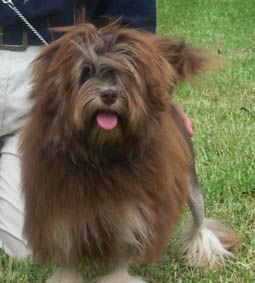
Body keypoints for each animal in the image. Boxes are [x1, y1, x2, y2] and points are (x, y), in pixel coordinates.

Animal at [19, 23, 237, 282]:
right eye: (86, 72)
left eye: (125, 75)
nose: (109, 95)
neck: (99, 154)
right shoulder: (62, 209)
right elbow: (67, 250)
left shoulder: (132, 211)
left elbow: (123, 250)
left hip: (189, 180)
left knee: (200, 217)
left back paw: (205, 252)